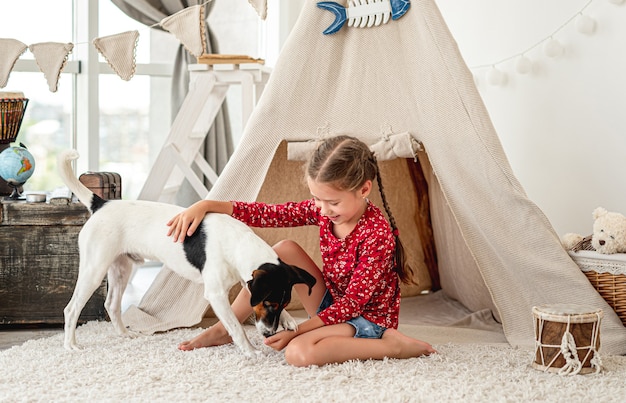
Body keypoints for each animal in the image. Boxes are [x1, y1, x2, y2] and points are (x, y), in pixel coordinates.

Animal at [58, 151, 314, 356]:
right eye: (269, 303)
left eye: (282, 303)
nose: (269, 334)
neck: (236, 242)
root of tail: (101, 204)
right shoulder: (216, 294)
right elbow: (236, 327)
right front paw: (250, 351)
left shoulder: (247, 280)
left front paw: (288, 320)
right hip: (94, 270)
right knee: (71, 309)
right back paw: (71, 345)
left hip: (121, 268)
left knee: (111, 304)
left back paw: (124, 334)